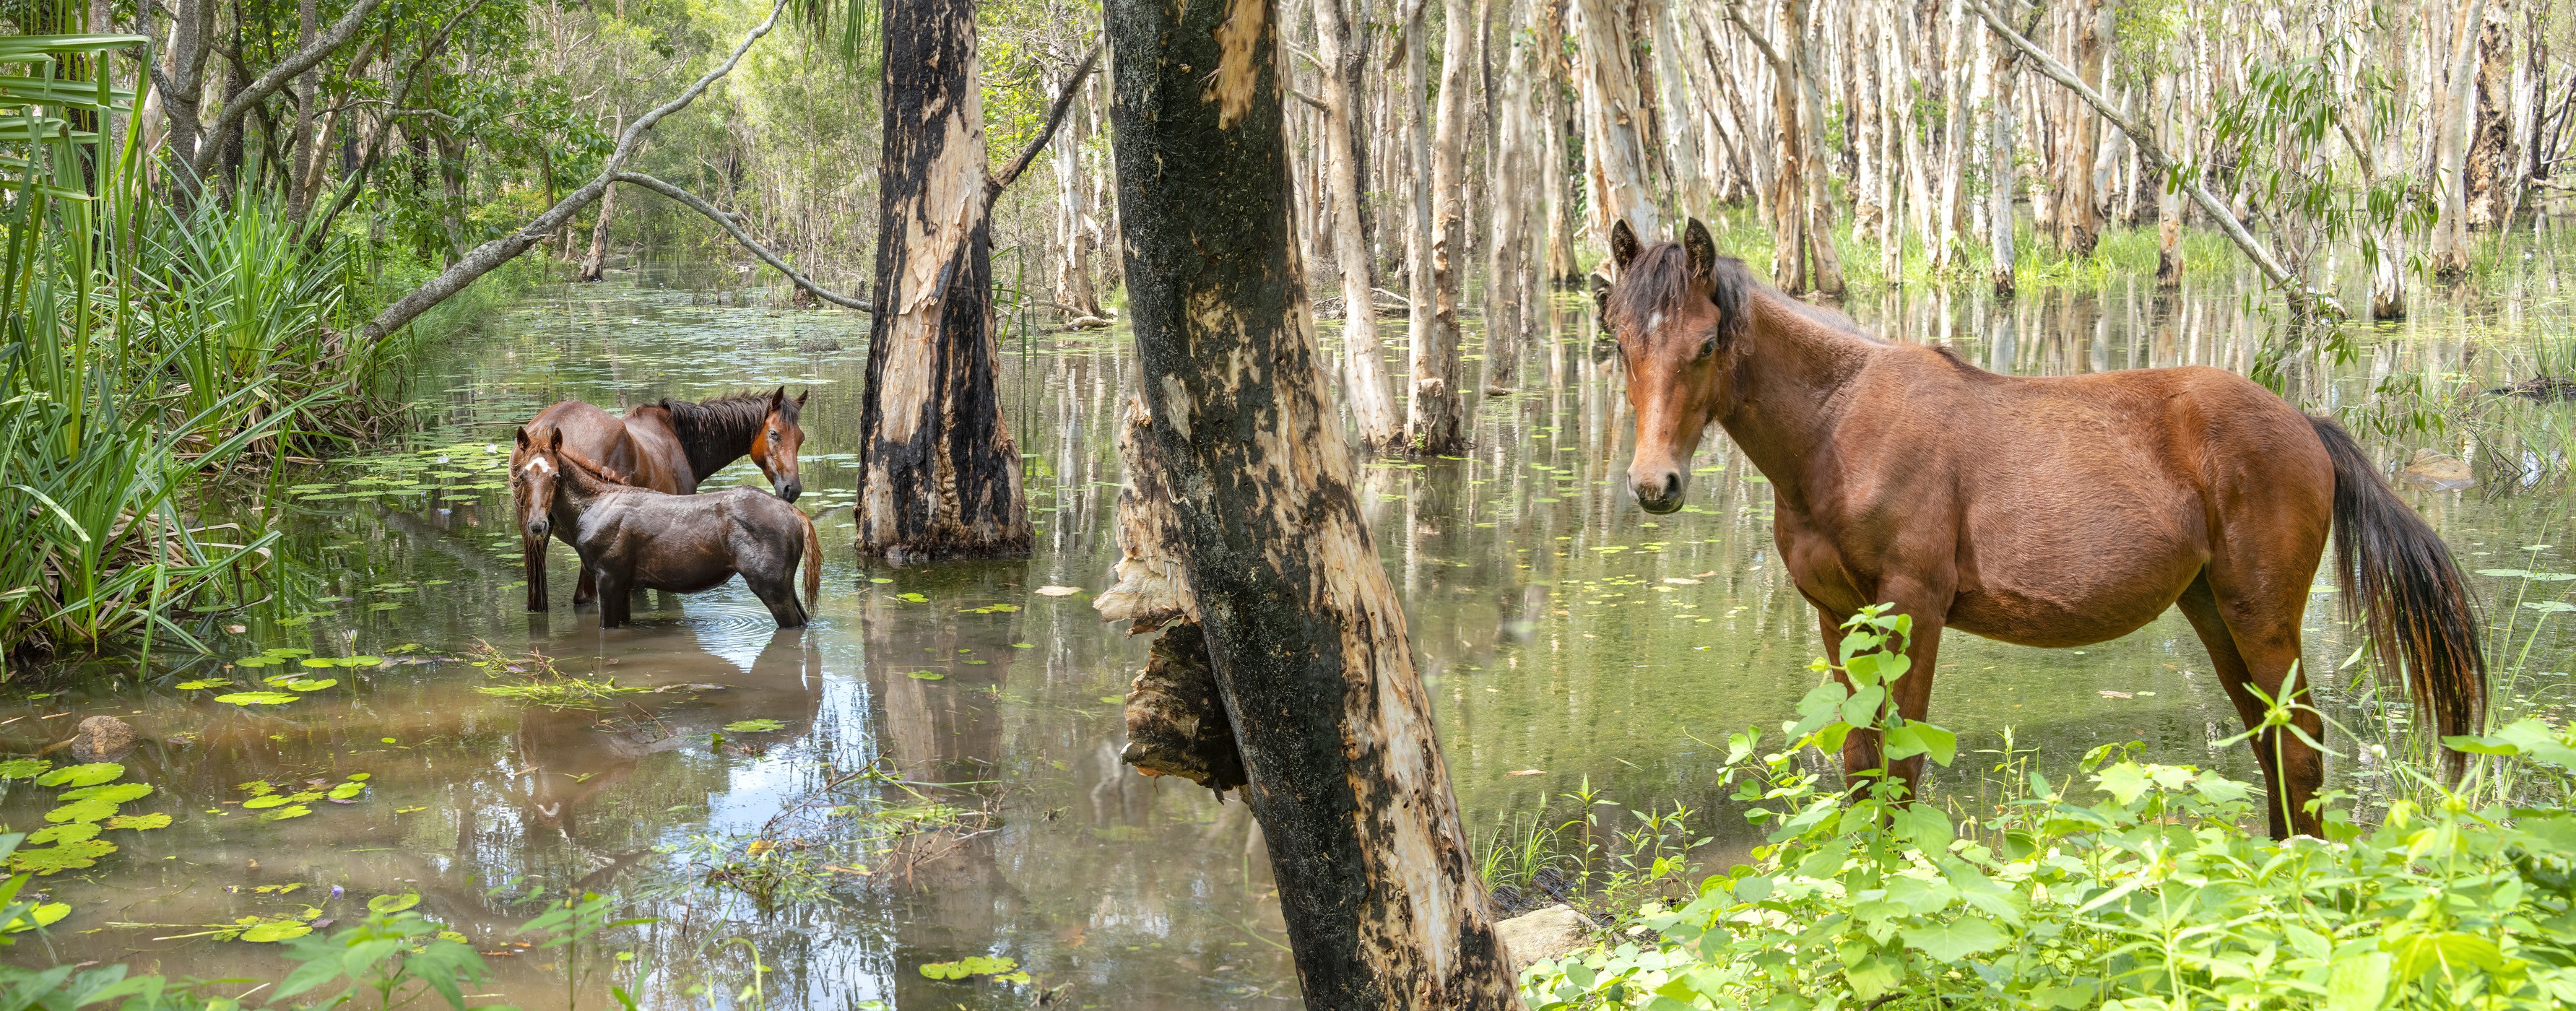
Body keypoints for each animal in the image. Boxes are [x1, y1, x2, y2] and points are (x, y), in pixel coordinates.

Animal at [512, 386, 803, 608]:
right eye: (774, 433)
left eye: (801, 438)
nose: (793, 489)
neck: (682, 441)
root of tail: (545, 429)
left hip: (534, 536)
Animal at [1618, 219, 2483, 836]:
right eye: (1619, 343)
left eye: (1705, 344)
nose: (1655, 485)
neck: (1841, 426)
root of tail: (2305, 424)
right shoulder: (1841, 617)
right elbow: (1864, 765)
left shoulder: (1913, 607)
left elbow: (1903, 767)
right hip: (2213, 612)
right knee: (2269, 743)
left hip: (2263, 616)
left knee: (2299, 747)